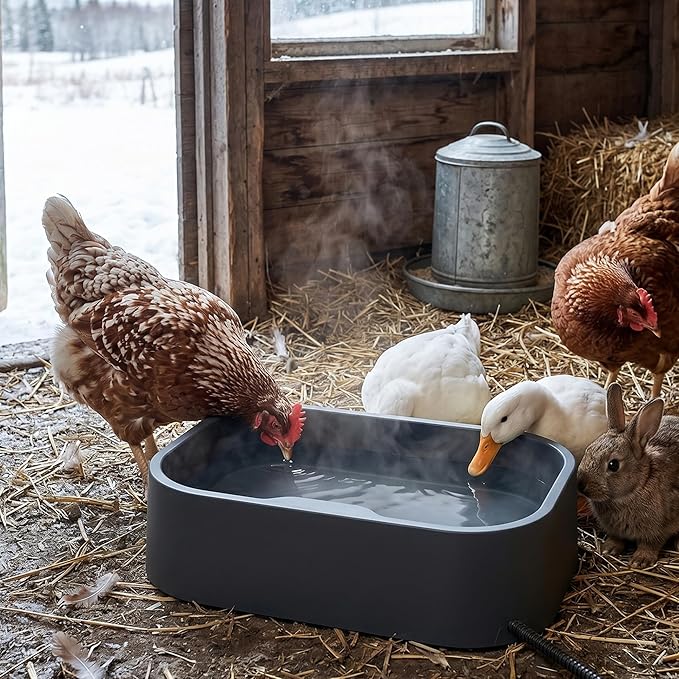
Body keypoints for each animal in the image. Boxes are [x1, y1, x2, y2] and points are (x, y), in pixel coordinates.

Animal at [577, 382, 679, 568]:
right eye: (588, 449)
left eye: (613, 465)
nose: (581, 485)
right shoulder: (614, 530)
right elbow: (616, 539)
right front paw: (608, 549)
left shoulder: (659, 528)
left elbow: (650, 544)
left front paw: (640, 560)